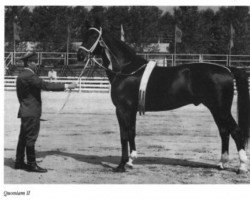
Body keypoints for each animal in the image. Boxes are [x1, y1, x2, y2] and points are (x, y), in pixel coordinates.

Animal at [77, 21, 249, 173]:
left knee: (235, 131)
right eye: (84, 35)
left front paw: (121, 166)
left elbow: (124, 135)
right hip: (216, 109)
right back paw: (221, 163)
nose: (80, 55)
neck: (127, 70)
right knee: (224, 131)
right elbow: (132, 132)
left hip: (221, 109)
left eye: (94, 36)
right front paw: (131, 161)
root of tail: (226, 68)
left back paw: (241, 167)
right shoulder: (131, 111)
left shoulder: (122, 110)